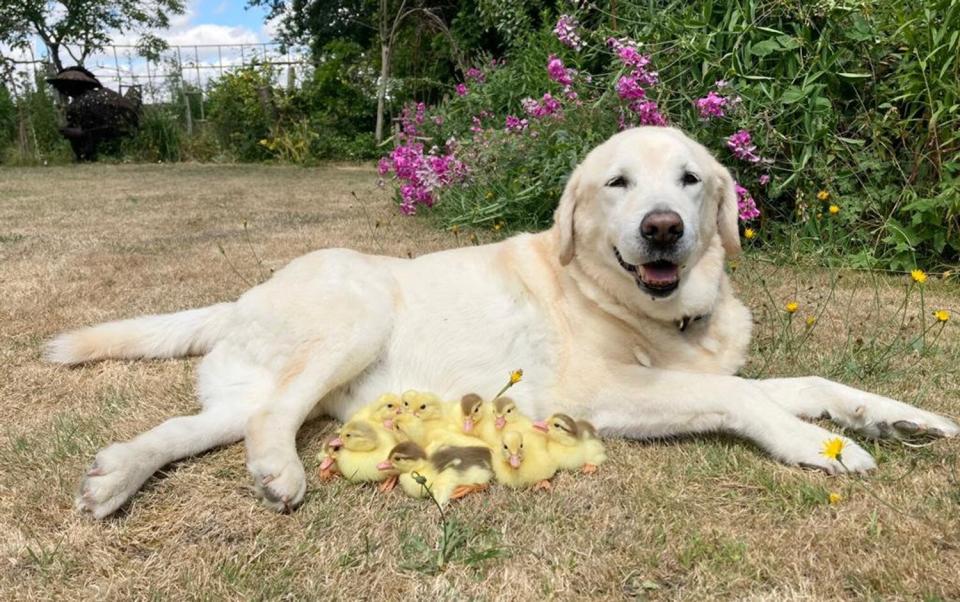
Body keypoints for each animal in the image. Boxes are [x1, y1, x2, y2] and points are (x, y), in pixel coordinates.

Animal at [47, 126, 960, 516]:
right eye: (618, 184)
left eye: (691, 180)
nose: (663, 228)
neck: (661, 316)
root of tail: (242, 296)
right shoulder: (599, 395)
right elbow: (747, 401)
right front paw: (820, 447)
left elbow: (807, 383)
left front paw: (901, 419)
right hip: (356, 317)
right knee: (272, 417)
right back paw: (278, 471)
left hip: (243, 389)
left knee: (199, 425)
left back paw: (115, 479)